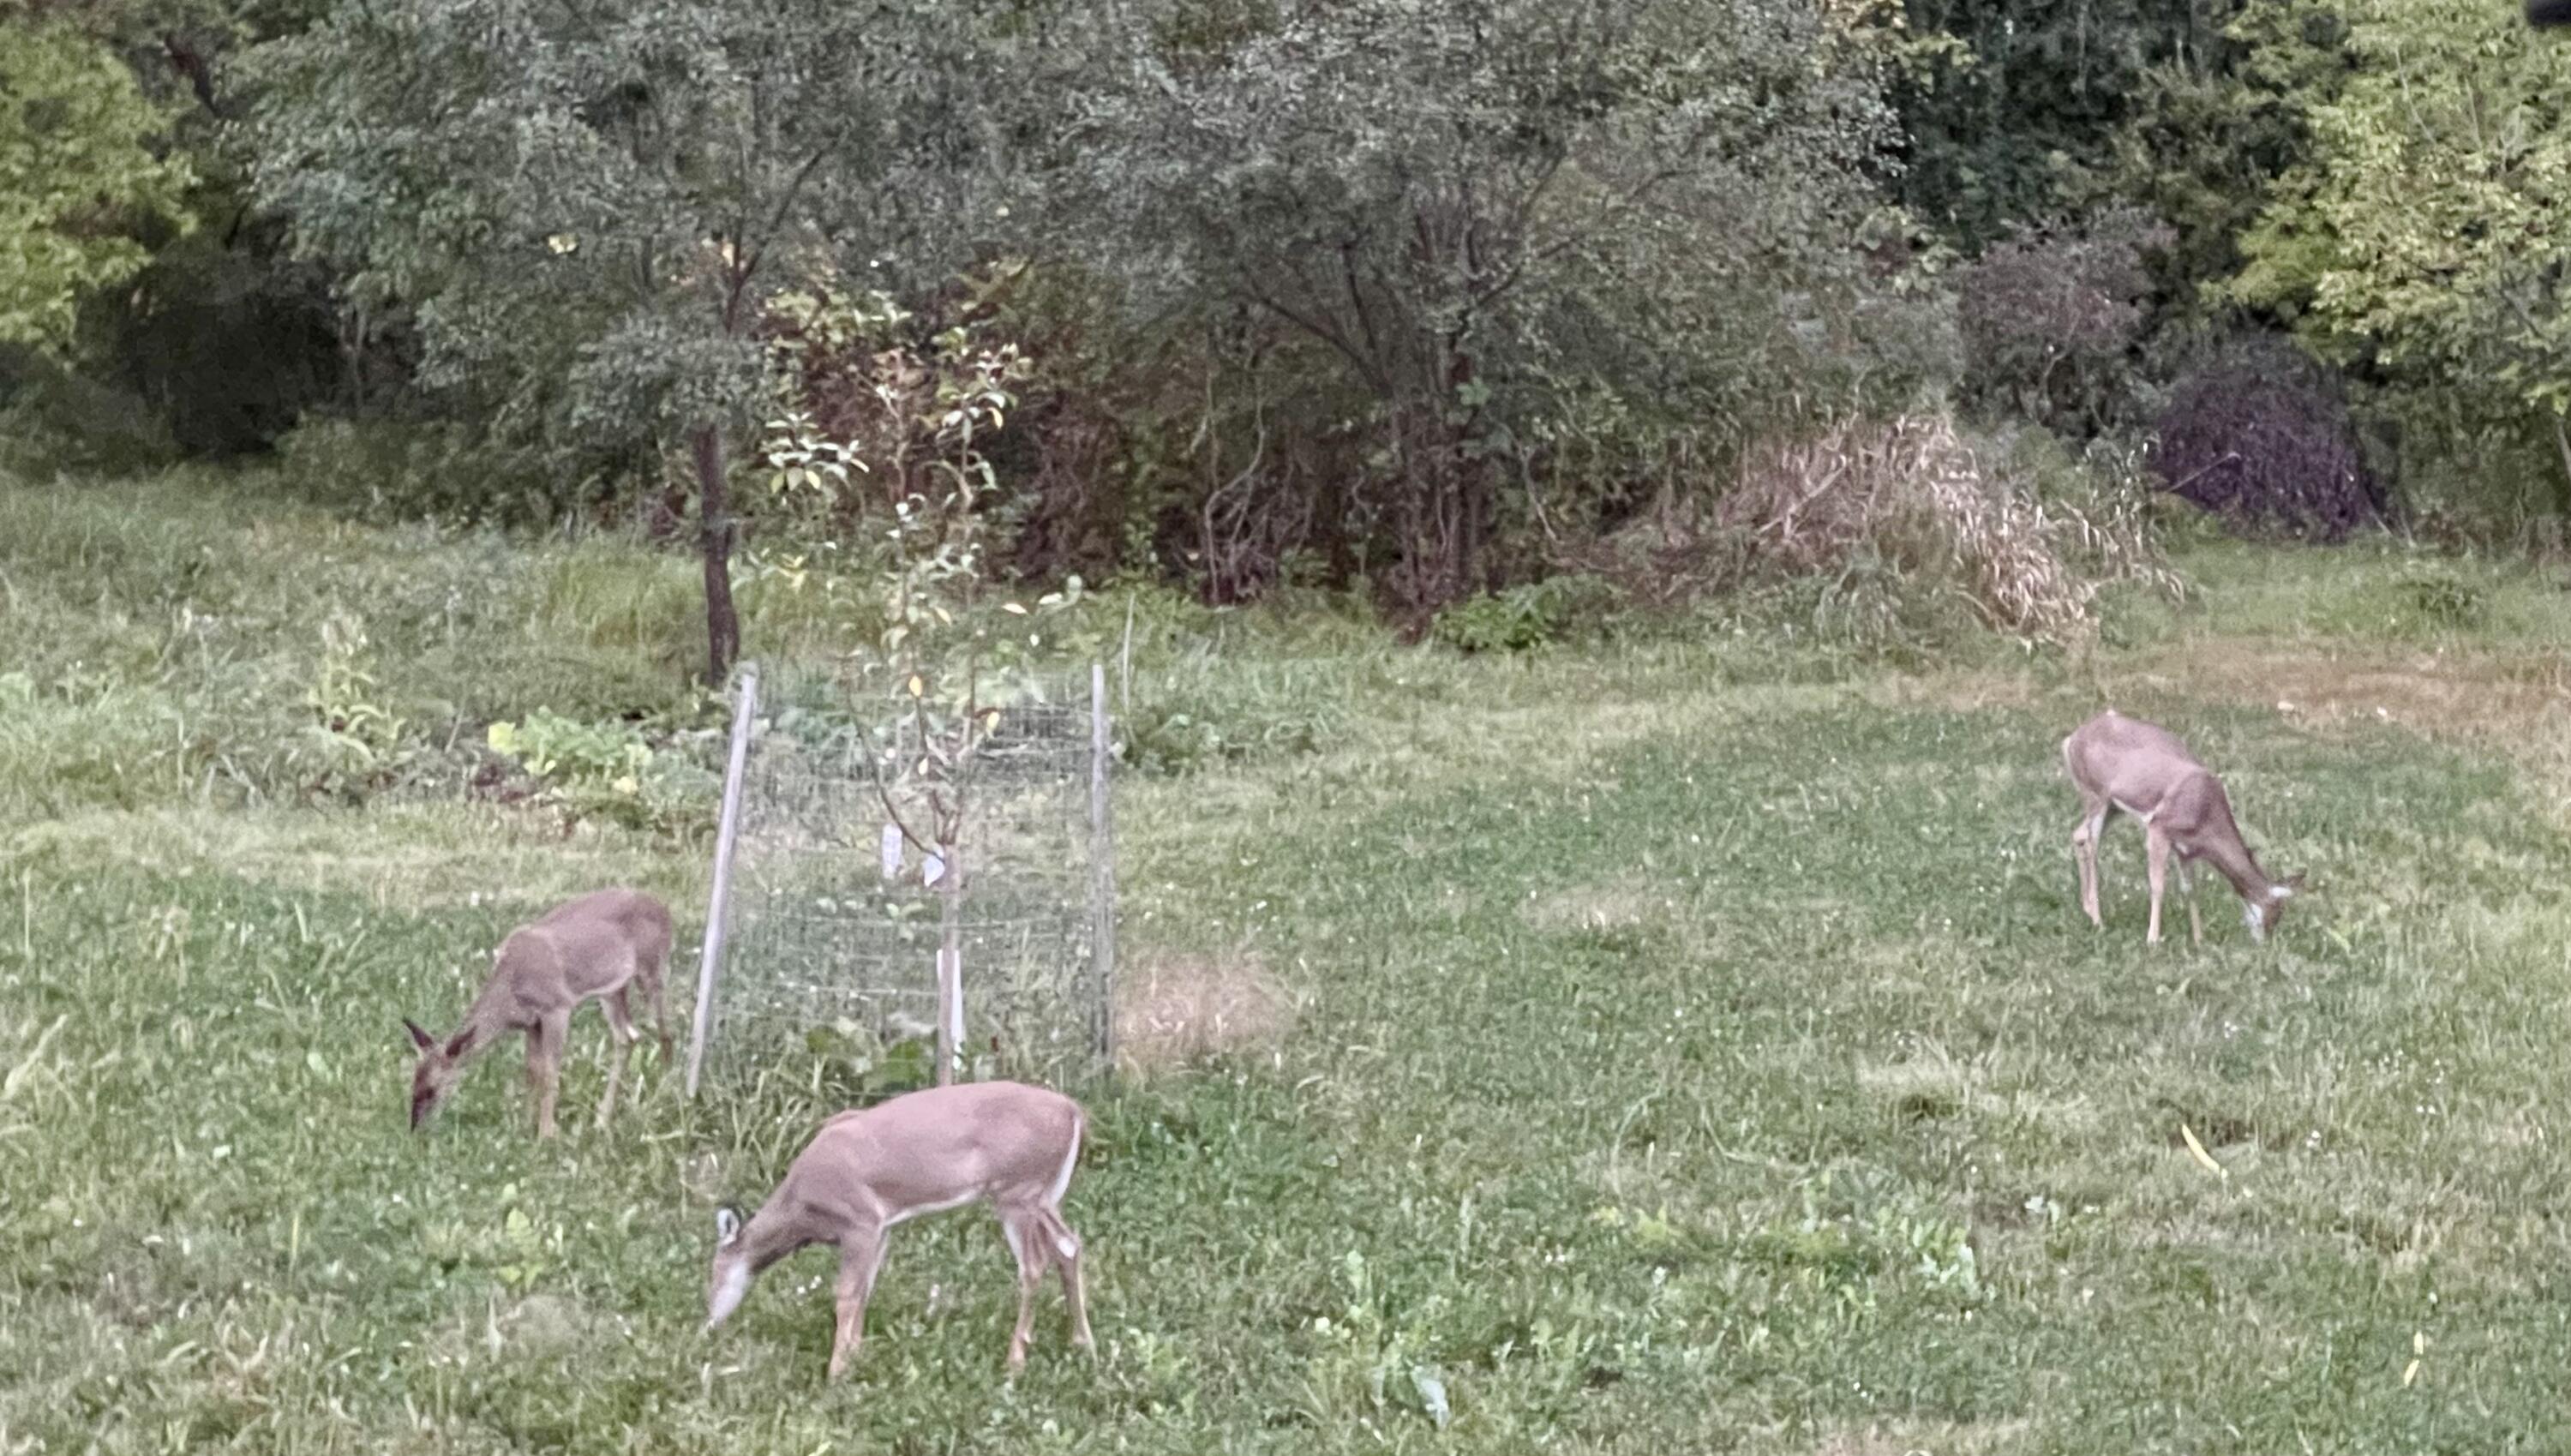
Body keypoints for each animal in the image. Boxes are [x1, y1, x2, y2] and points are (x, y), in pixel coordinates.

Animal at [403, 888, 674, 1138]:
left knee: (665, 1032)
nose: (416, 1128)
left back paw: (665, 1095)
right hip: (613, 989)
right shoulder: (531, 1022)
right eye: (414, 1082)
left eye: (432, 1089)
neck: (511, 991)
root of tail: (663, 908)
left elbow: (550, 1071)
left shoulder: (557, 1008)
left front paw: (546, 1135)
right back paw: (603, 1119)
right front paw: (525, 1127)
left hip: (651, 967)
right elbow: (533, 1070)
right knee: (628, 1037)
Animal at [704, 1080, 1095, 1380]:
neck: (804, 1206)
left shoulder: (859, 1220)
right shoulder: (883, 1227)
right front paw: (856, 1353)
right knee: (1069, 1245)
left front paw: (836, 1372)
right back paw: (1082, 1343)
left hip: (1017, 1191)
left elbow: (846, 1293)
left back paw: (1015, 1360)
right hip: (1045, 1195)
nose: (708, 1324)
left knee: (1034, 1264)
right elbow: (866, 1288)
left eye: (714, 1273)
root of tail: (1073, 1111)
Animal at [2063, 710, 2304, 946]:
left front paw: (2199, 940)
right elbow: (2158, 886)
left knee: (2079, 834)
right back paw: (2098, 920)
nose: (2265, 944)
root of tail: (2071, 740)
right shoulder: (2158, 829)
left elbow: (2190, 889)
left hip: (2113, 807)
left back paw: (2087, 909)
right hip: (2095, 795)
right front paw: (2152, 940)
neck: (2205, 813)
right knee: (2091, 844)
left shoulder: (2186, 850)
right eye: (2275, 913)